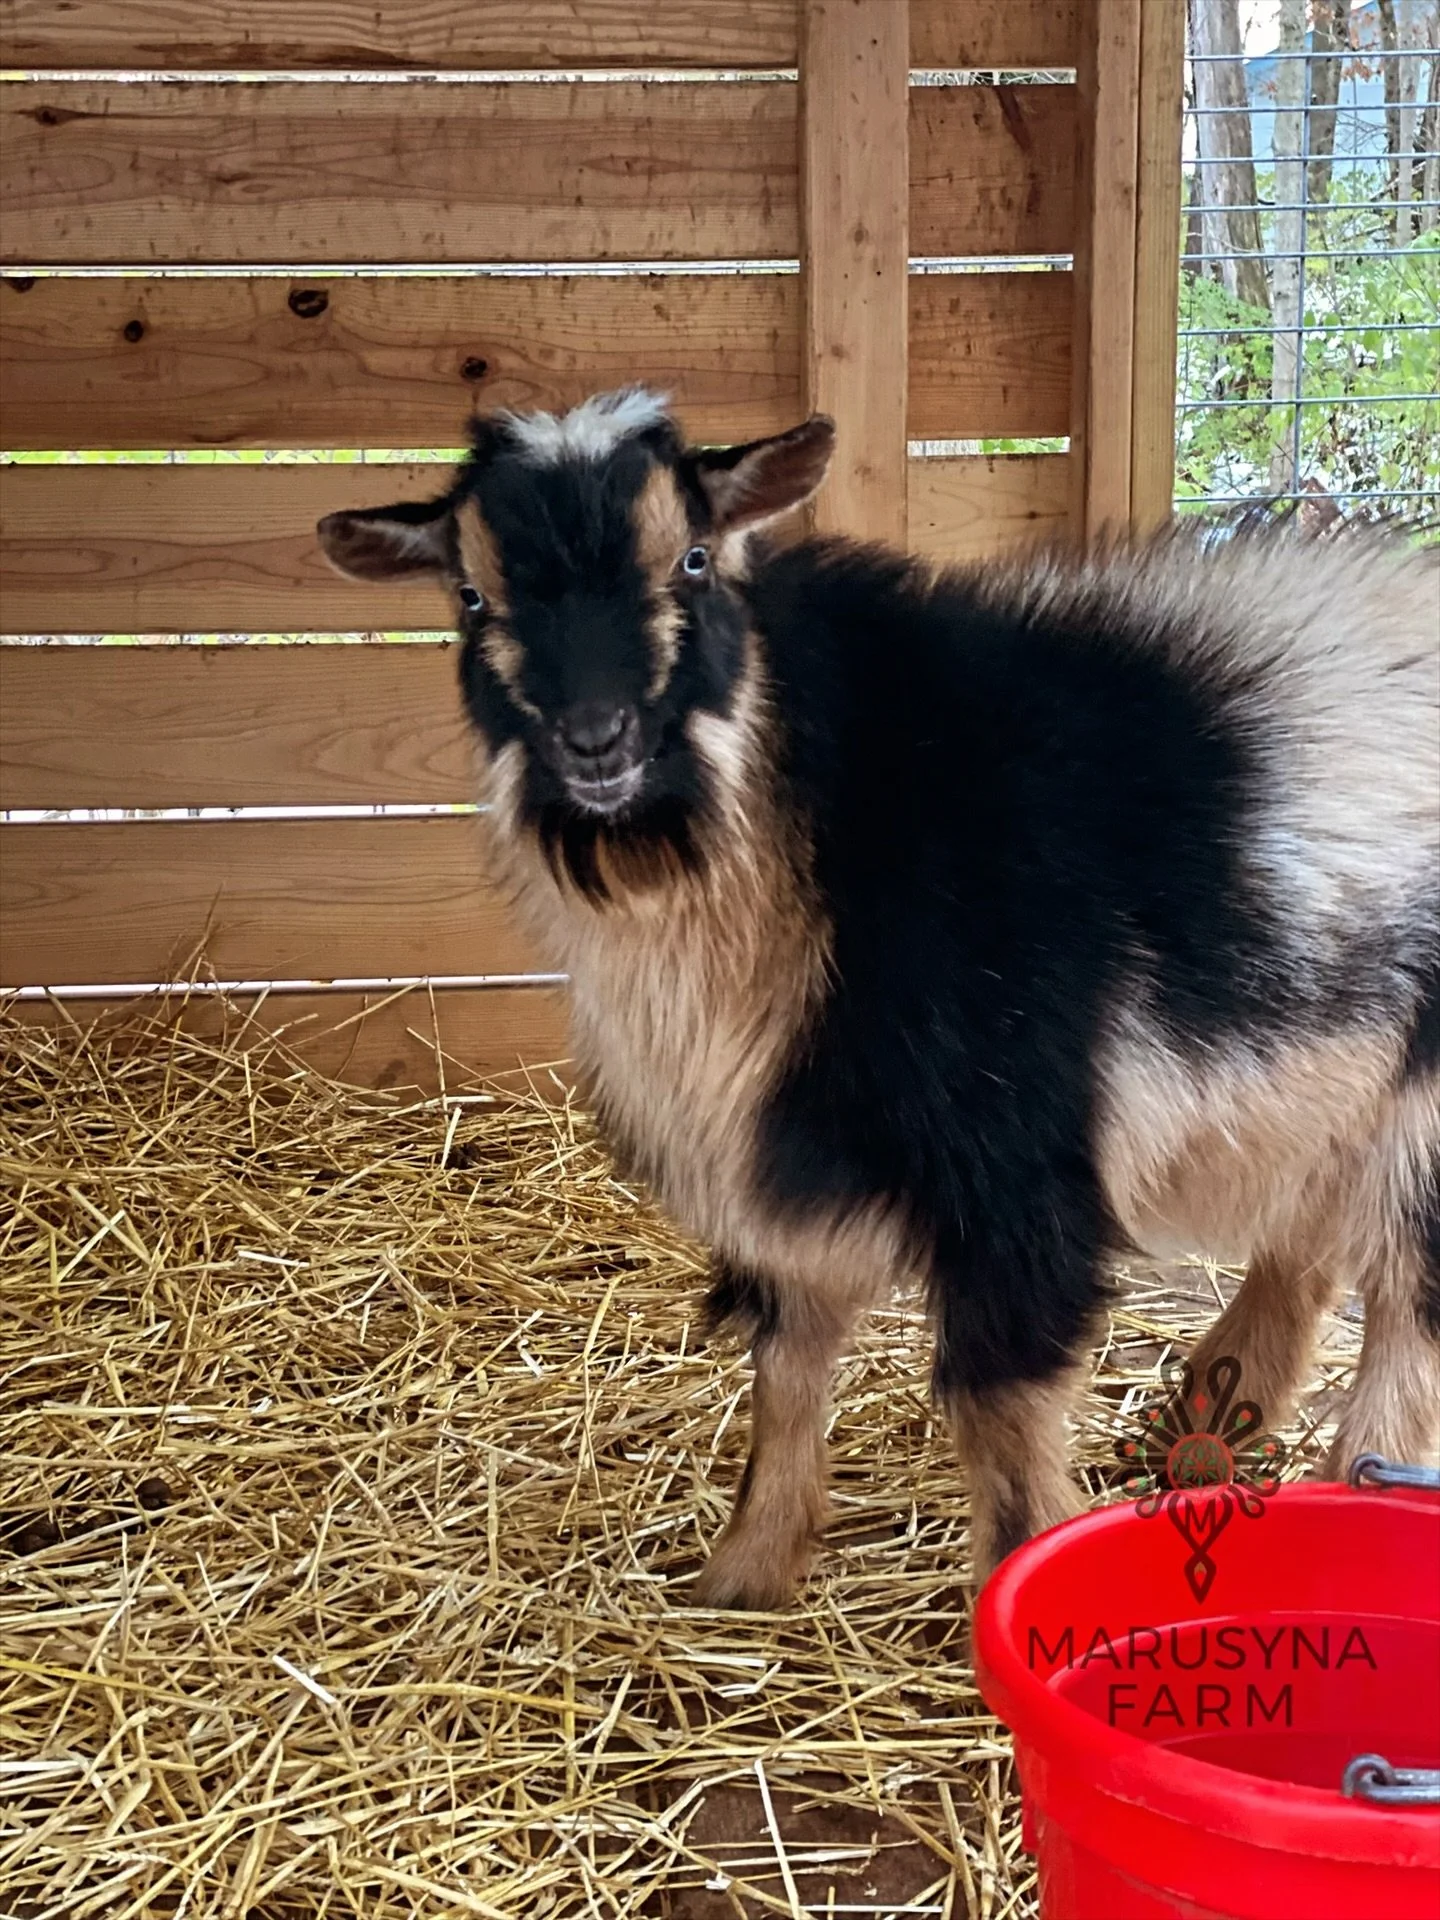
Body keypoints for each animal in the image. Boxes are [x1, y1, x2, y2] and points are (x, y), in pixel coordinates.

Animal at [319, 388, 1440, 1610]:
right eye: (473, 596)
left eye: (695, 558)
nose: (596, 741)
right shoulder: (782, 1193)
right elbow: (786, 1367)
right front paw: (744, 1575)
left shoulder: (1016, 1173)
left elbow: (997, 1411)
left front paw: (1010, 1596)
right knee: (1310, 1245)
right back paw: (1201, 1430)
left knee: (1405, 1310)